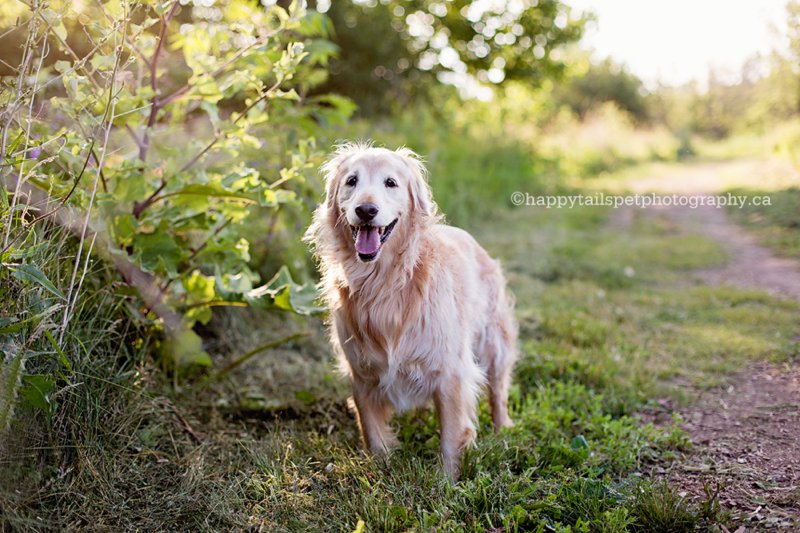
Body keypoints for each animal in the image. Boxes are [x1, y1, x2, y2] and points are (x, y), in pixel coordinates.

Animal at [304, 141, 516, 478]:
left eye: (390, 183)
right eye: (352, 181)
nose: (366, 210)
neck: (384, 283)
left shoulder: (450, 371)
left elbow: (451, 436)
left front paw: (446, 483)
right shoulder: (361, 373)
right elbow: (373, 432)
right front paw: (380, 471)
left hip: (494, 341)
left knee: (498, 388)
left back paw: (502, 427)